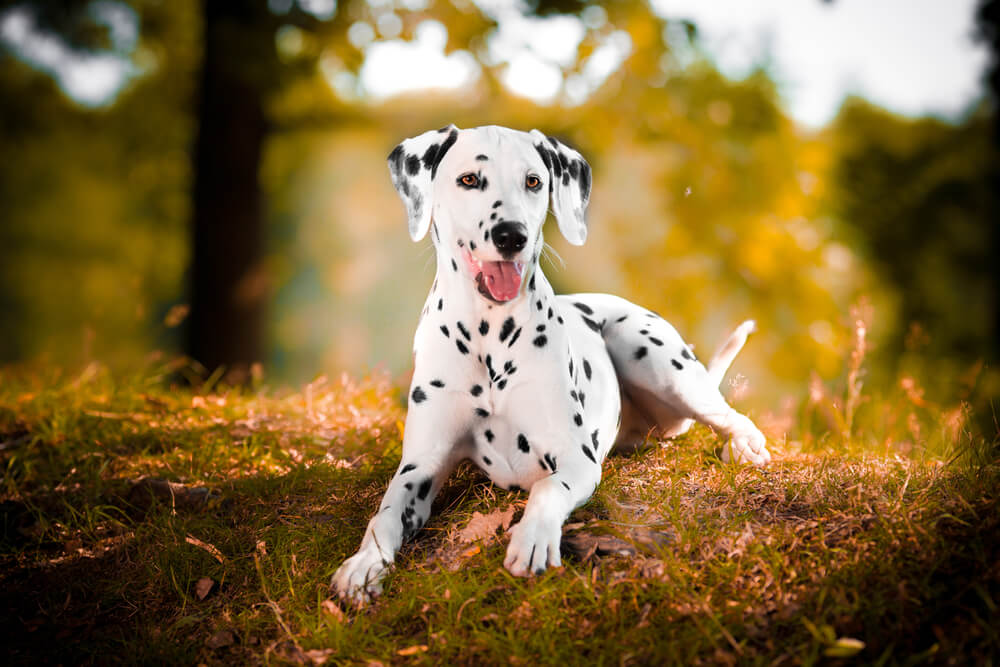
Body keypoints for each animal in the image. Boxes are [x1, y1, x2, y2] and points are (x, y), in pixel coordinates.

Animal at [332, 124, 768, 604]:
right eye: (469, 179)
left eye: (533, 181)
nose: (511, 235)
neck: (489, 334)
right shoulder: (420, 466)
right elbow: (385, 514)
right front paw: (363, 564)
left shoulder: (576, 459)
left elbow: (545, 488)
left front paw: (533, 538)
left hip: (654, 356)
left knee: (728, 415)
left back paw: (744, 445)